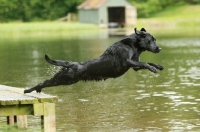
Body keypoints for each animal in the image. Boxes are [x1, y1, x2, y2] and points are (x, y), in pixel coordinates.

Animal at [23, 27, 164, 94]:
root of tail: (73, 64)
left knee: (45, 82)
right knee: (44, 82)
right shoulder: (127, 62)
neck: (134, 45)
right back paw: (29, 90)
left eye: (155, 40)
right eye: (151, 40)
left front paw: (158, 66)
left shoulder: (134, 66)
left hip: (66, 79)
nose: (159, 48)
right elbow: (145, 63)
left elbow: (146, 63)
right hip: (64, 79)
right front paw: (153, 68)